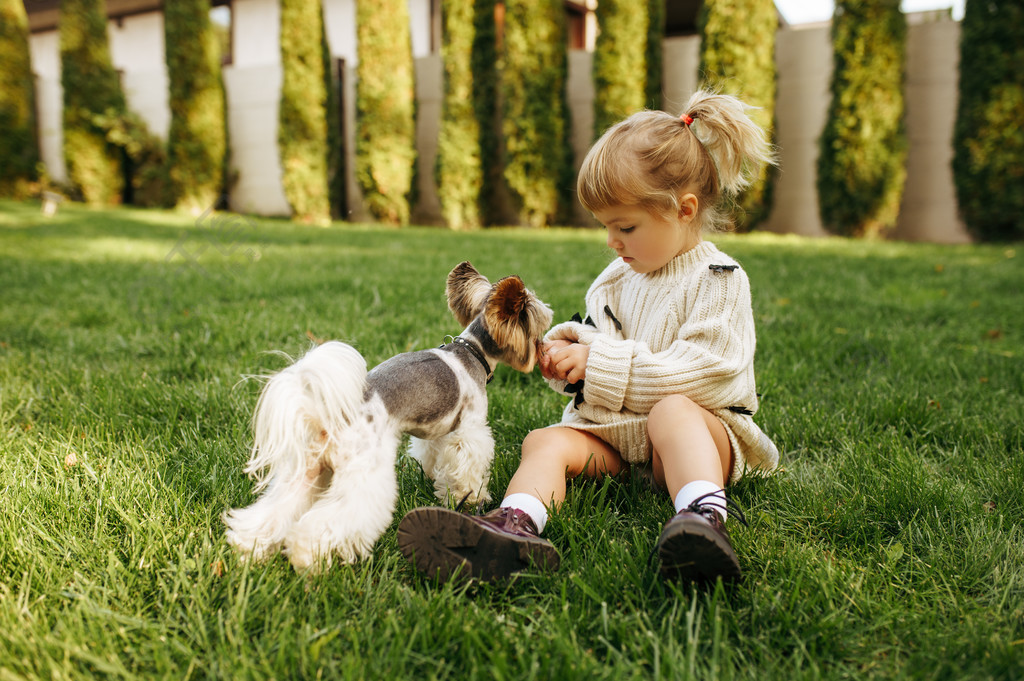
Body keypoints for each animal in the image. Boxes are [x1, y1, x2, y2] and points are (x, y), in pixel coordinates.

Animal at [224, 262, 552, 569]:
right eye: (538, 324)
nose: (543, 346)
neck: (473, 351)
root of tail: (327, 416)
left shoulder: (435, 432)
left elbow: (433, 458)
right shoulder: (469, 432)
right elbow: (467, 471)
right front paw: (471, 499)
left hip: (305, 474)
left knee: (273, 511)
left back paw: (250, 549)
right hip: (363, 475)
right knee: (331, 521)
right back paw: (309, 556)